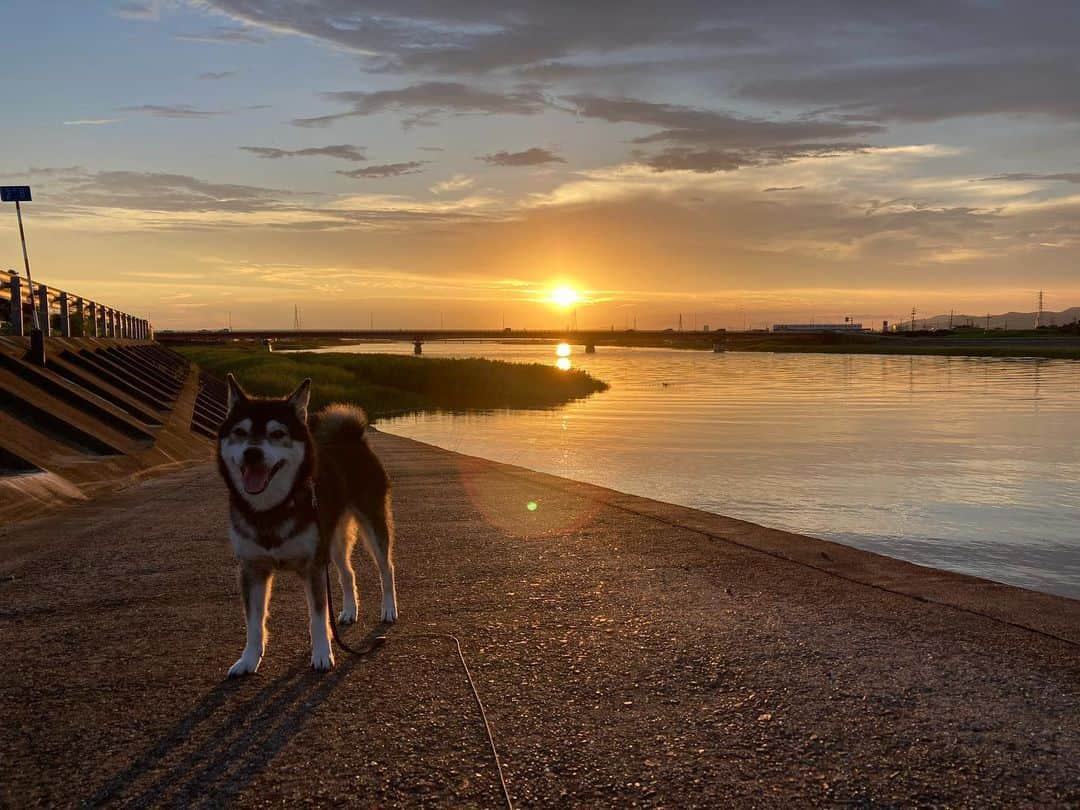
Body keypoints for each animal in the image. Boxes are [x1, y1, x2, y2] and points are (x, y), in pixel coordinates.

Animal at [214, 375, 397, 678]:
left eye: (277, 433)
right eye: (240, 432)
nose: (252, 453)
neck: (272, 509)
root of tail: (353, 437)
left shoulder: (312, 567)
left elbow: (318, 618)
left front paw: (323, 654)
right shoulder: (252, 568)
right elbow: (253, 623)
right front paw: (249, 659)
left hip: (371, 524)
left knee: (386, 568)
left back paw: (389, 609)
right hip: (332, 541)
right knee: (348, 573)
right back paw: (349, 612)